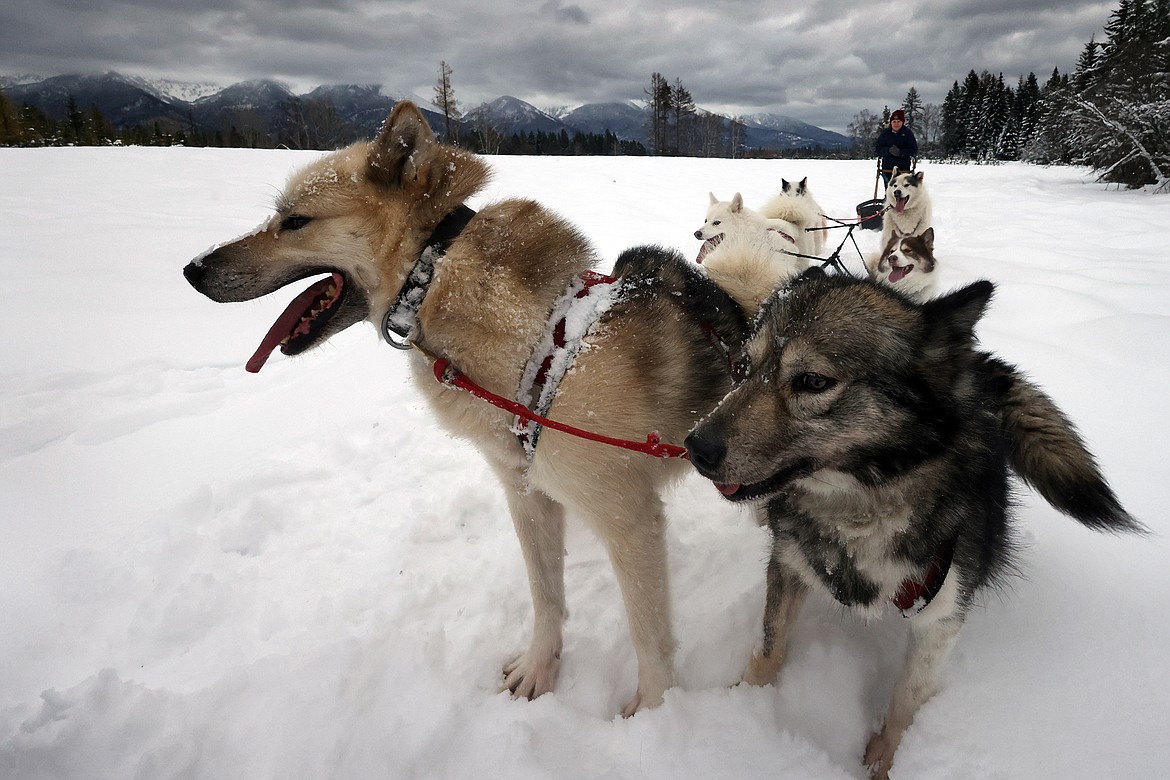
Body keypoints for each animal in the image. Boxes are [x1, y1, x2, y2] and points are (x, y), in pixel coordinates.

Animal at [683, 270, 1141, 780]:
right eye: (743, 367)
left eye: (813, 381)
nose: (696, 446)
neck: (866, 501)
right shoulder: (789, 565)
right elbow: (770, 645)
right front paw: (745, 705)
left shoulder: (943, 615)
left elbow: (908, 696)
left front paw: (883, 760)